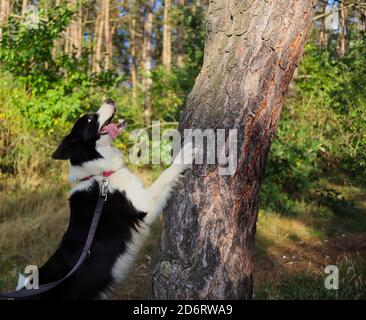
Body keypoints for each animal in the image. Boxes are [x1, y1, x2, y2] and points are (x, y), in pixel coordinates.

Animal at [19, 99, 193, 298]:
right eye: (89, 119)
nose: (109, 99)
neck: (100, 173)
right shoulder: (143, 205)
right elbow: (165, 175)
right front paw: (185, 154)